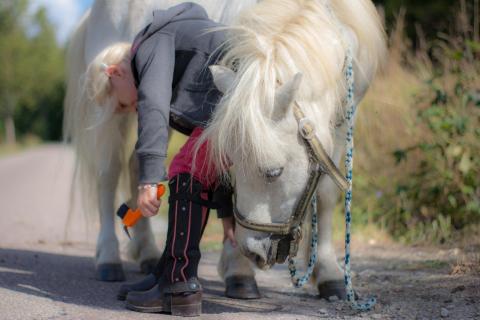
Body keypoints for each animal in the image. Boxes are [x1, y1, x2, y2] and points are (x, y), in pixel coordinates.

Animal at [64, 1, 260, 284]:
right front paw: (239, 269)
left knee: (136, 164)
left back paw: (148, 254)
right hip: (112, 120)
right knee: (109, 174)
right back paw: (110, 259)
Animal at [202, 0, 386, 298]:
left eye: (274, 172)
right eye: (232, 166)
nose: (252, 252)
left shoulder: (343, 123)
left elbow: (326, 191)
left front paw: (329, 274)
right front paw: (239, 271)